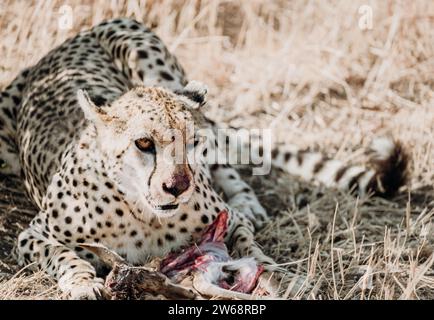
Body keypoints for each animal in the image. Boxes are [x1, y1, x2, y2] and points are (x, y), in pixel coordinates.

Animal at [0, 18, 406, 298]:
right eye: (143, 144)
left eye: (191, 143)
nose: (178, 187)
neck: (141, 215)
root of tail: (69, 40)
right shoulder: (33, 235)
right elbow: (67, 257)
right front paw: (83, 284)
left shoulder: (223, 221)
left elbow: (254, 250)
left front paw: (282, 277)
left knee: (225, 166)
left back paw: (246, 202)